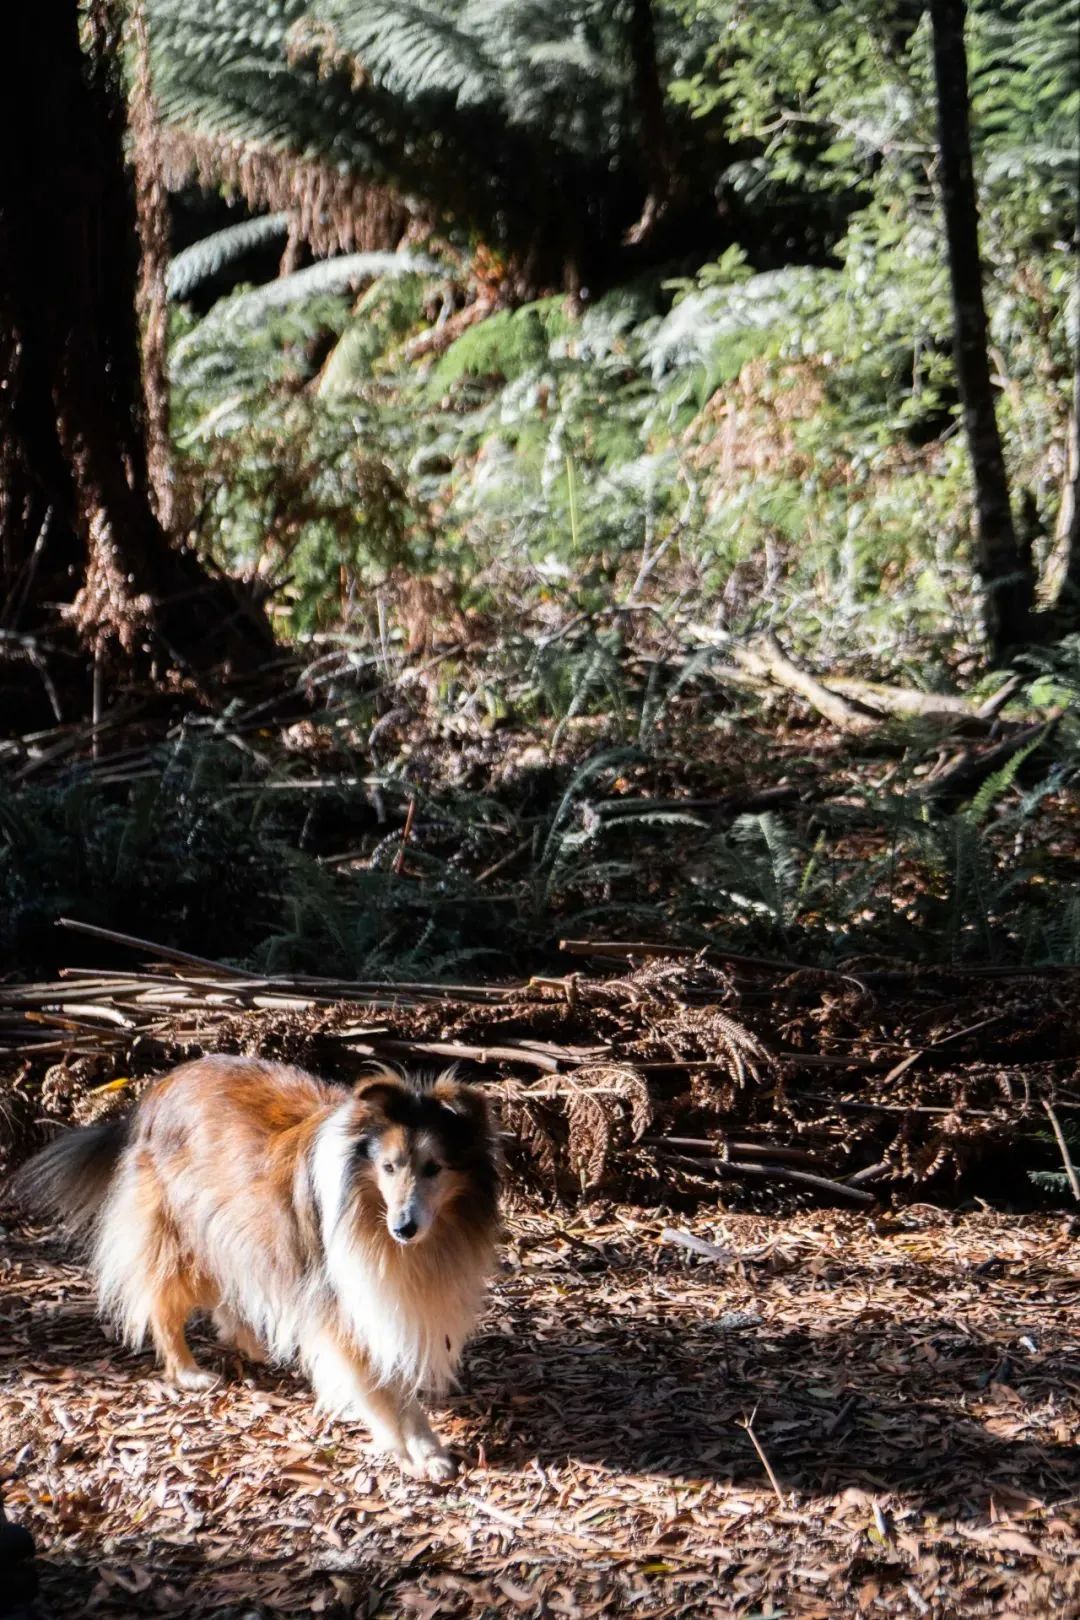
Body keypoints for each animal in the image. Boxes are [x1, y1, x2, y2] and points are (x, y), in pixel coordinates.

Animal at [13, 1049, 501, 1483]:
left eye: (434, 1168)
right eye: (389, 1167)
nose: (404, 1228)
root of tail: (159, 1088)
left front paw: (425, 1447)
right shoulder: (345, 1299)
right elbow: (379, 1385)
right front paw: (406, 1449)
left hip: (233, 1223)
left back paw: (252, 1343)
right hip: (182, 1228)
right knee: (163, 1301)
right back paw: (188, 1372)